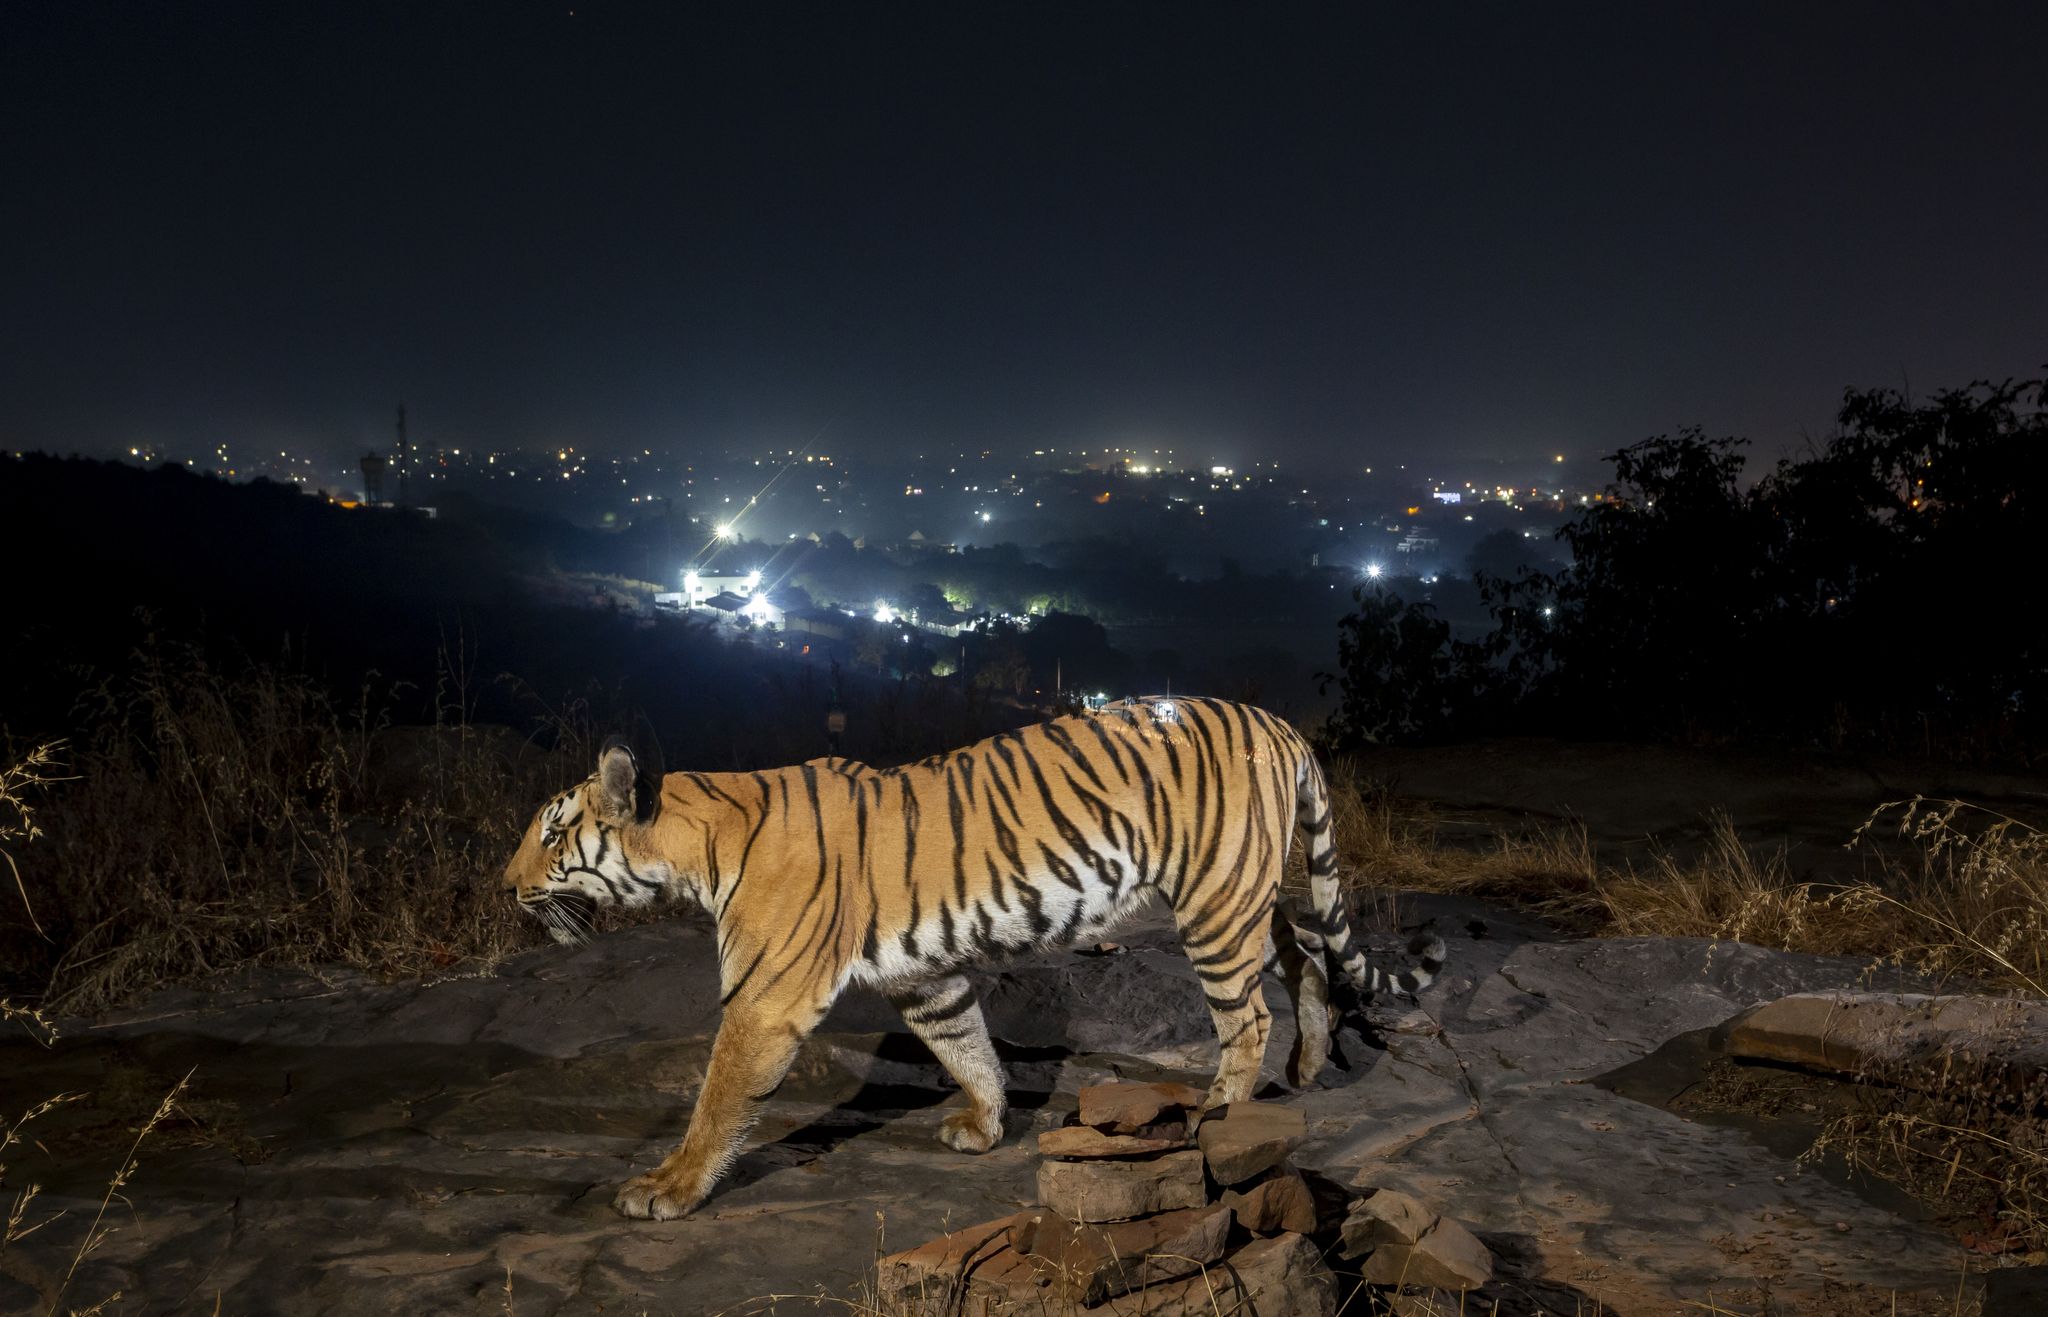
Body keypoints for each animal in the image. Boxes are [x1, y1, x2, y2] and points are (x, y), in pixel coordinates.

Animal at [503, 696, 1449, 1220]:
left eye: (551, 833)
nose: (506, 886)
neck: (696, 842)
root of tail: (1279, 722)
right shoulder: (924, 977)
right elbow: (969, 1047)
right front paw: (987, 1126)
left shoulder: (765, 996)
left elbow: (715, 1100)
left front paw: (666, 1187)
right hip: (1247, 890)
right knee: (1306, 951)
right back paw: (1310, 1059)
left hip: (1216, 902)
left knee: (1246, 1011)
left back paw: (1222, 1108)